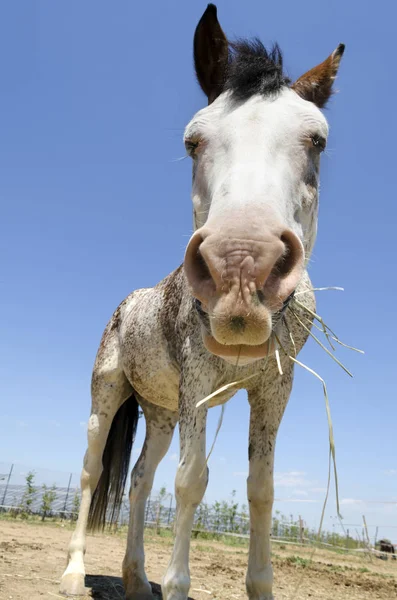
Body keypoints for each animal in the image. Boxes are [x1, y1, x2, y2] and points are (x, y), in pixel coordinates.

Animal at [59, 4, 344, 600]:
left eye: (317, 141)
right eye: (194, 141)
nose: (241, 266)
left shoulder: (272, 389)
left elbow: (262, 488)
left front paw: (258, 585)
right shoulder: (198, 383)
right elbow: (192, 482)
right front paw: (177, 585)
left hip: (161, 412)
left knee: (140, 480)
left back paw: (137, 580)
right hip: (109, 394)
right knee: (93, 471)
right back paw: (74, 573)